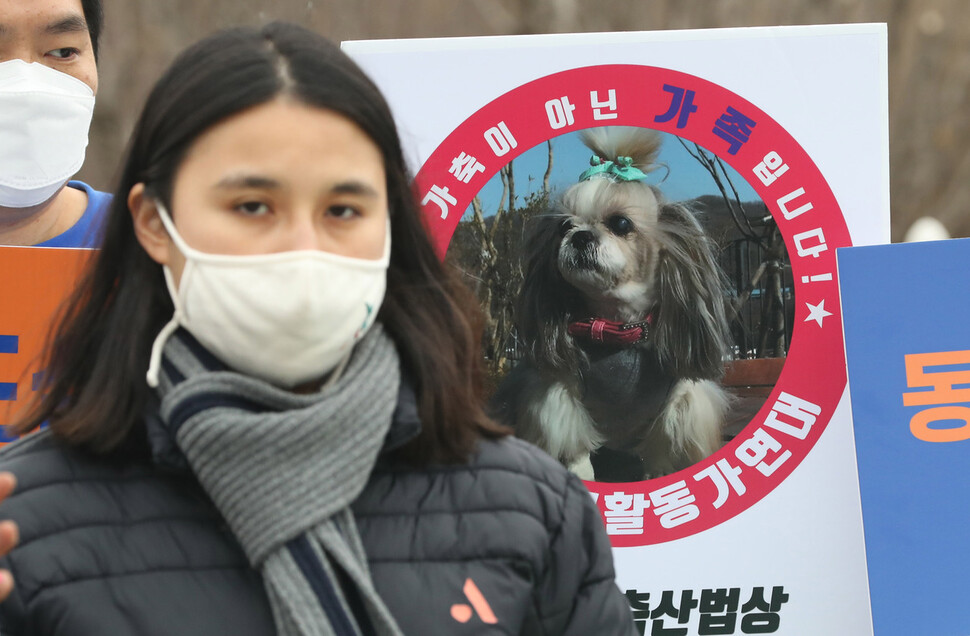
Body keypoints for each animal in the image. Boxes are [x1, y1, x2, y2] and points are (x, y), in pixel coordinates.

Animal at [496, 125, 728, 482]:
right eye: (564, 226)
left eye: (621, 224)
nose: (580, 236)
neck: (617, 328)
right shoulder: (560, 400)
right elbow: (576, 454)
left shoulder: (677, 407)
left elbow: (661, 458)